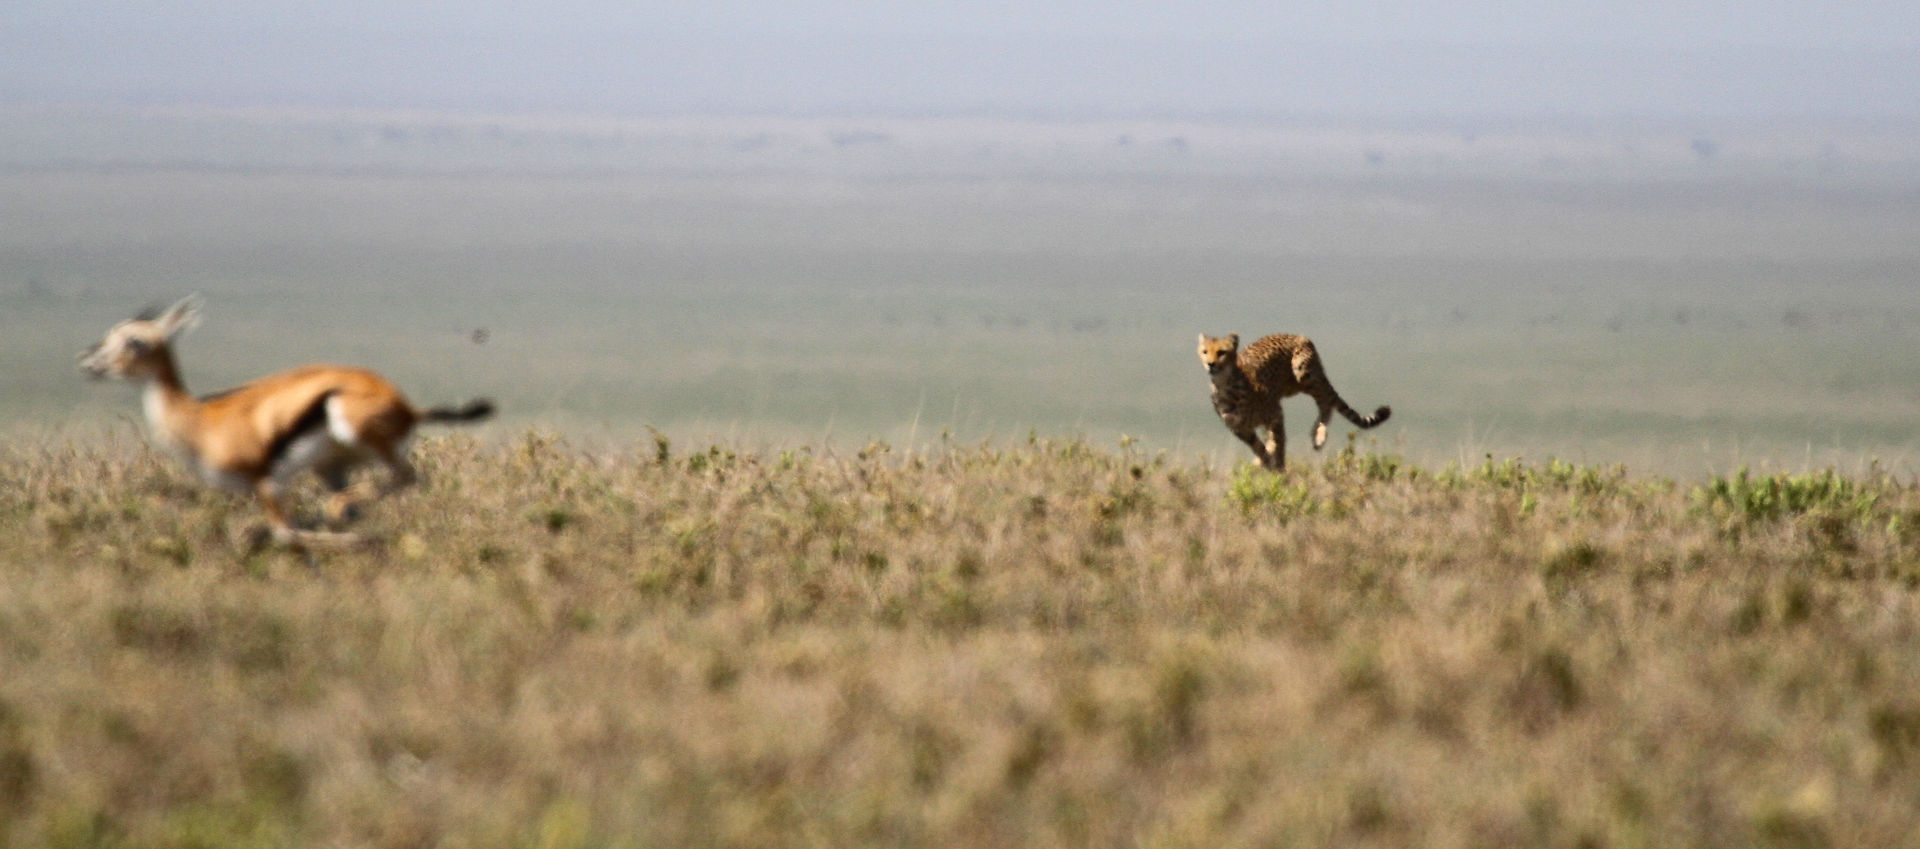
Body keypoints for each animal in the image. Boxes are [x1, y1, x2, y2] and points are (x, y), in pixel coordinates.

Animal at [80, 295, 494, 548]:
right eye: (110, 334)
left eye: (134, 341)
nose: (90, 364)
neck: (201, 419)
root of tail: (407, 406)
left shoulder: (267, 484)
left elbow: (286, 534)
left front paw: (360, 541)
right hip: (331, 467)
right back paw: (345, 513)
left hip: (352, 432)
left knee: (404, 476)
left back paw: (344, 515)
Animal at [1198, 332, 1391, 470]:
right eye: (1204, 351)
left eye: (1221, 352)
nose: (1210, 364)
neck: (1226, 385)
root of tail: (1299, 336)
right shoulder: (1239, 428)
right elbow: (1258, 447)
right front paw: (1265, 462)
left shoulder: (1275, 414)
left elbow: (1280, 443)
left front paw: (1279, 468)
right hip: (1290, 387)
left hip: (1302, 373)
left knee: (1326, 400)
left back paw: (1319, 436)